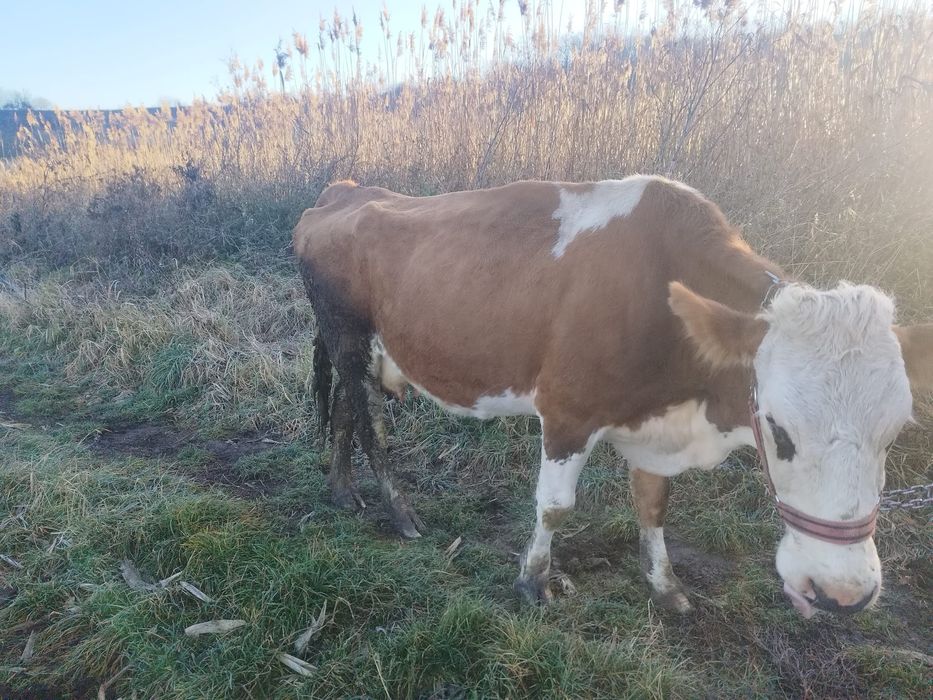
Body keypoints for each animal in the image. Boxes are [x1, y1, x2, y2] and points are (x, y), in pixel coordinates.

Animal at [293, 175, 933, 617]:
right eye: (776, 427)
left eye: (895, 432)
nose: (842, 592)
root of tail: (342, 192)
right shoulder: (567, 410)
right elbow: (554, 506)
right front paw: (533, 582)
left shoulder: (654, 424)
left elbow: (653, 505)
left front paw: (665, 586)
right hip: (349, 336)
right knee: (371, 425)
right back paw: (400, 513)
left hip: (352, 347)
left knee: (345, 412)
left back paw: (342, 492)